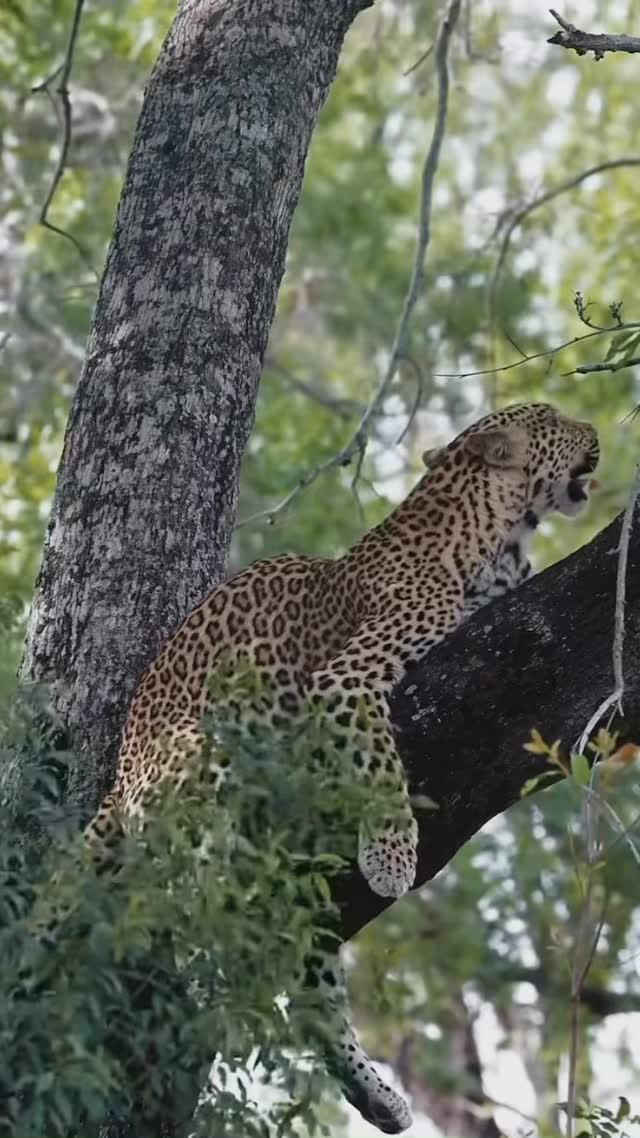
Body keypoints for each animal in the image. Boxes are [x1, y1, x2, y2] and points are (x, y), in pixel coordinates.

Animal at [84, 401, 598, 1134]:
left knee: (312, 986)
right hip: (204, 755)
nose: (594, 432)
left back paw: (377, 1096)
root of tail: (121, 772)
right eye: (554, 419)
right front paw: (389, 861)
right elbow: (379, 766)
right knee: (192, 883)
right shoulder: (347, 680)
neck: (495, 534)